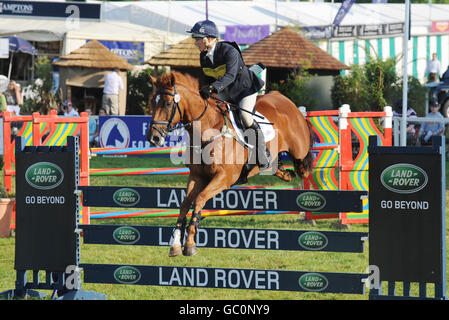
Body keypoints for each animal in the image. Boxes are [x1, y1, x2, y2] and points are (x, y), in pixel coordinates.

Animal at [147, 71, 312, 256]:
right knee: (283, 170)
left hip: (299, 152)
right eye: (152, 101)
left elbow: (199, 199)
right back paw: (281, 170)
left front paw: (189, 244)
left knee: (304, 168)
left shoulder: (224, 178)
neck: (207, 129)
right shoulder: (197, 176)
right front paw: (175, 244)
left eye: (168, 103)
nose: (153, 138)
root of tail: (286, 100)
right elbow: (185, 204)